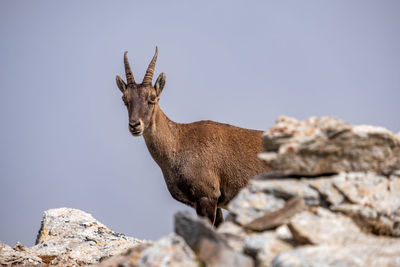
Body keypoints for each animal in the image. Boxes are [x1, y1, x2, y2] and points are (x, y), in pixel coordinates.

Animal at [117, 47, 270, 226]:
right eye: (125, 98)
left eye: (152, 98)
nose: (135, 125)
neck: (178, 143)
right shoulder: (214, 204)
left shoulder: (206, 196)